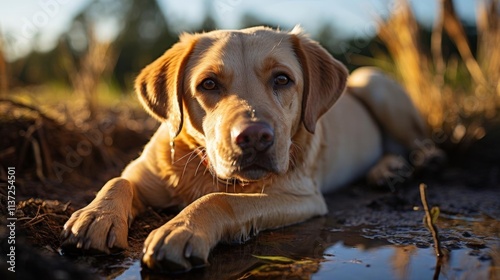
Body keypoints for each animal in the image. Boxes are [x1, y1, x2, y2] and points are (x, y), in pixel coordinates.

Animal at [61, 26, 442, 272]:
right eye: (208, 84)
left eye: (282, 79)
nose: (256, 137)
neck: (204, 169)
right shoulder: (141, 169)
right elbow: (117, 180)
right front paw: (95, 217)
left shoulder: (300, 195)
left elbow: (222, 199)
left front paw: (182, 228)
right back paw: (386, 169)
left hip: (374, 81)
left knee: (418, 141)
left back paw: (417, 161)